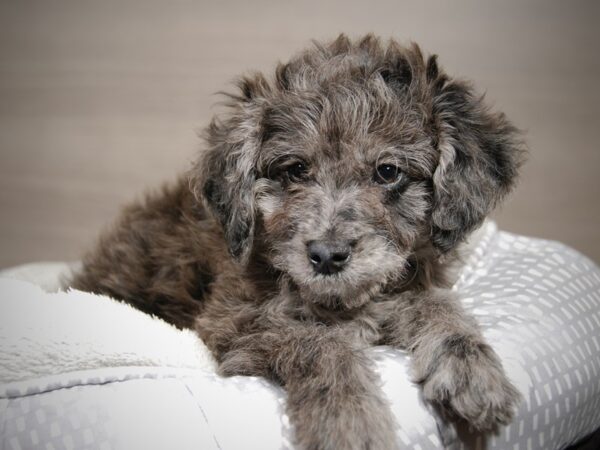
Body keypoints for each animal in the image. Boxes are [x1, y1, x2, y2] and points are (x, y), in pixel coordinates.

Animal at [72, 35, 524, 450]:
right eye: (296, 170)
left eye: (388, 171)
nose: (326, 256)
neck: (342, 303)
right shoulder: (235, 320)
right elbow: (319, 344)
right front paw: (350, 423)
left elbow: (435, 302)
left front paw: (471, 366)